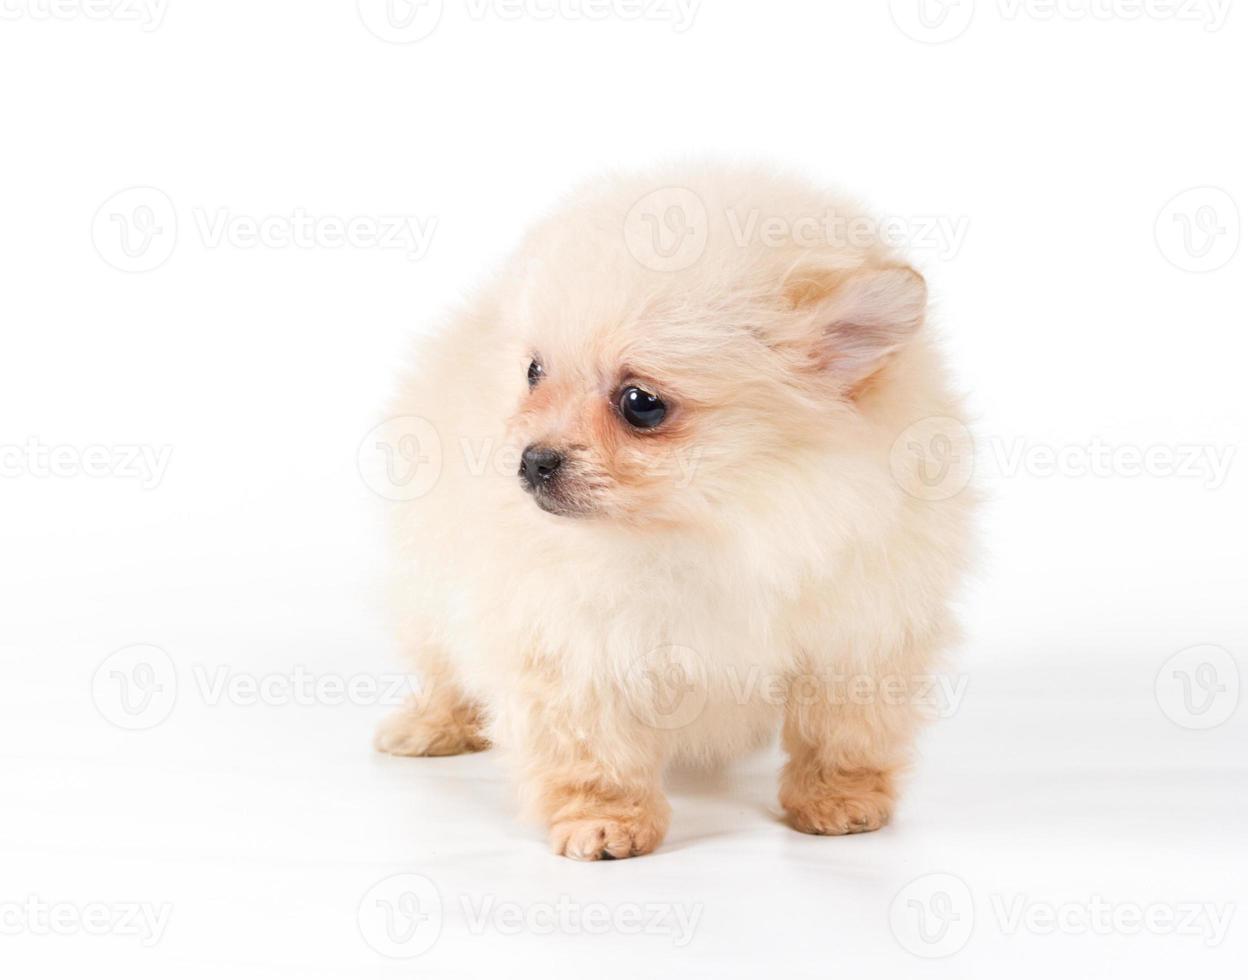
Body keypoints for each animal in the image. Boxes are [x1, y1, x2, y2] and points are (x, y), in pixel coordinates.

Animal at [371, 164, 973, 858]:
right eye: (534, 372)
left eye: (641, 403)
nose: (533, 460)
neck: (721, 523)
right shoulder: (567, 639)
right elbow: (591, 744)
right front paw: (605, 819)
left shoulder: (861, 628)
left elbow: (843, 729)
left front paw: (839, 798)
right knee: (443, 665)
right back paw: (431, 725)